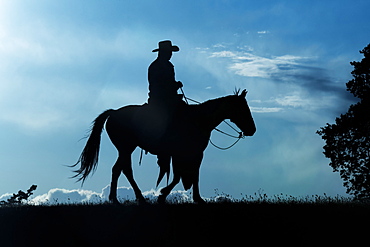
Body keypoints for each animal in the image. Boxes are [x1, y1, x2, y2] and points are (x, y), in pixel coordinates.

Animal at [72, 89, 258, 204]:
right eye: (243, 108)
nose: (252, 130)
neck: (199, 119)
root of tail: (113, 112)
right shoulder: (185, 153)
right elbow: (182, 176)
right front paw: (164, 195)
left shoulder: (190, 153)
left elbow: (190, 175)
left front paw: (195, 198)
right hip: (126, 148)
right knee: (122, 169)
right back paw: (128, 198)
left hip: (125, 149)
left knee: (120, 169)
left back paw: (124, 198)